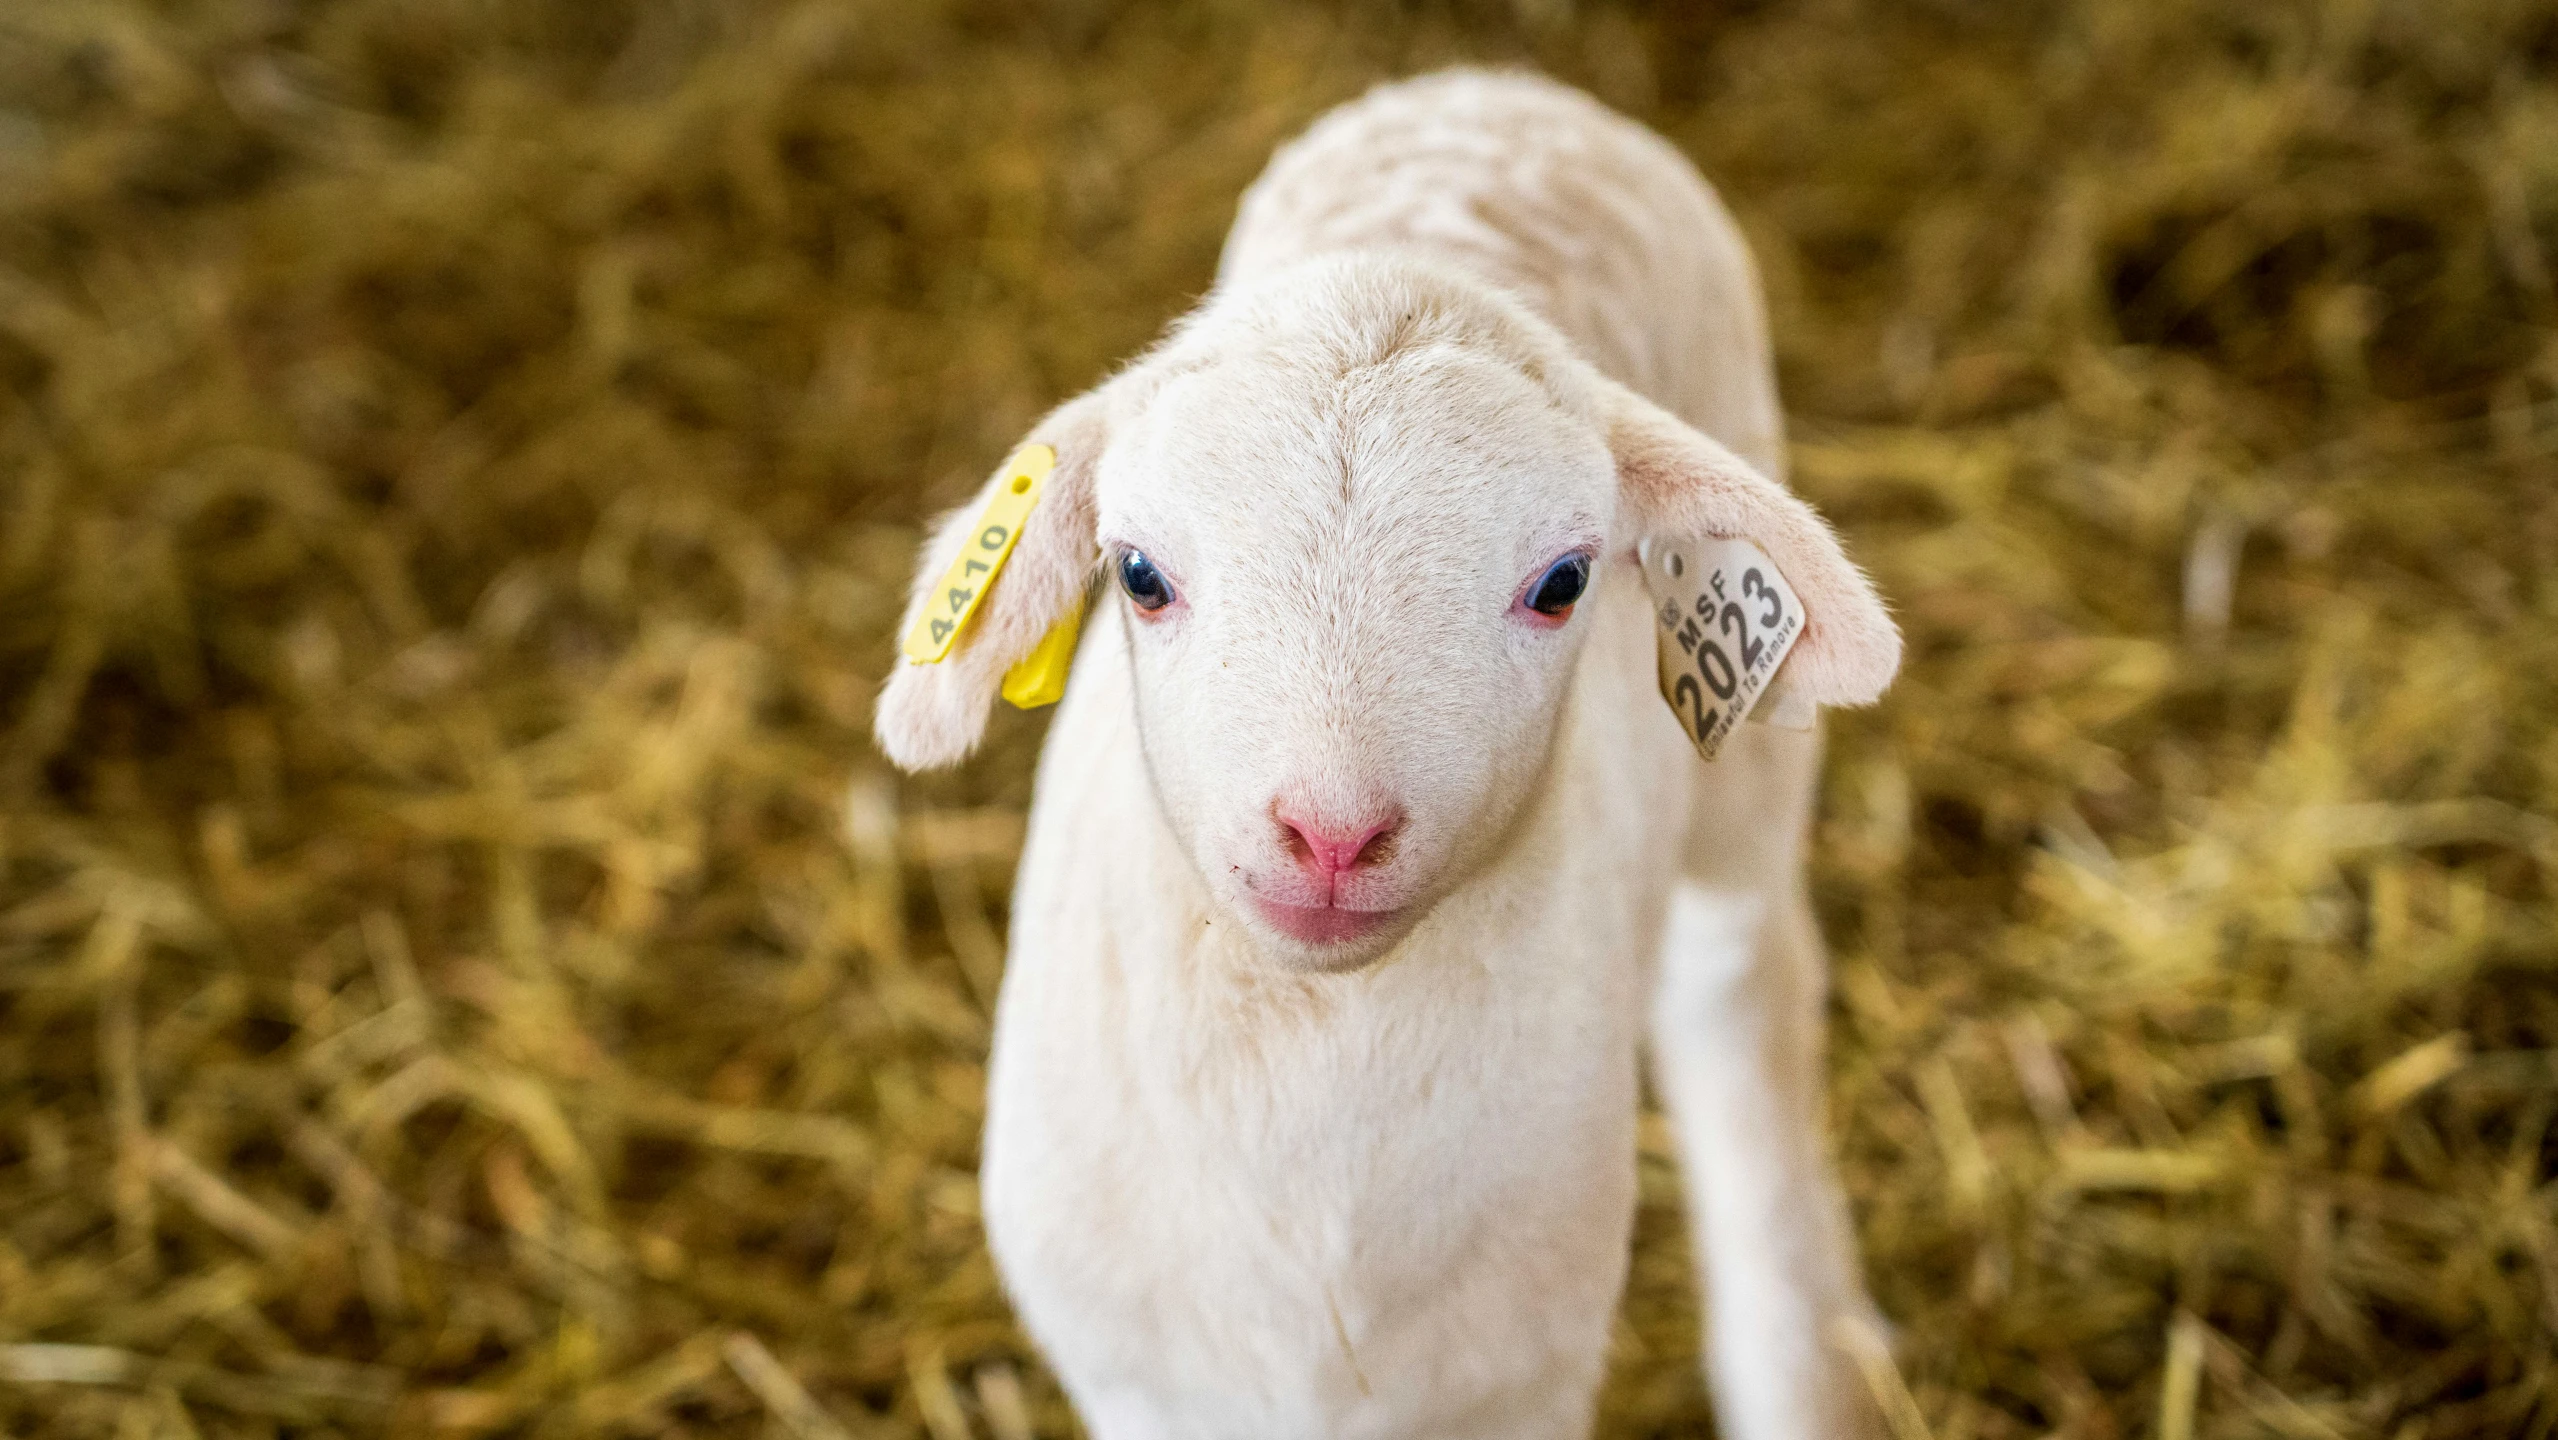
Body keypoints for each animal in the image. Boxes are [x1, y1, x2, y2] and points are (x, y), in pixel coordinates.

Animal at [879, 70, 1903, 1440]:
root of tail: (1492, 88)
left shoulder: (1514, 1382)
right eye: (1137, 574)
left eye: (1563, 583)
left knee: (1741, 1004)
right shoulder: (1135, 1374)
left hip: (1738, 796)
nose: (1330, 833)